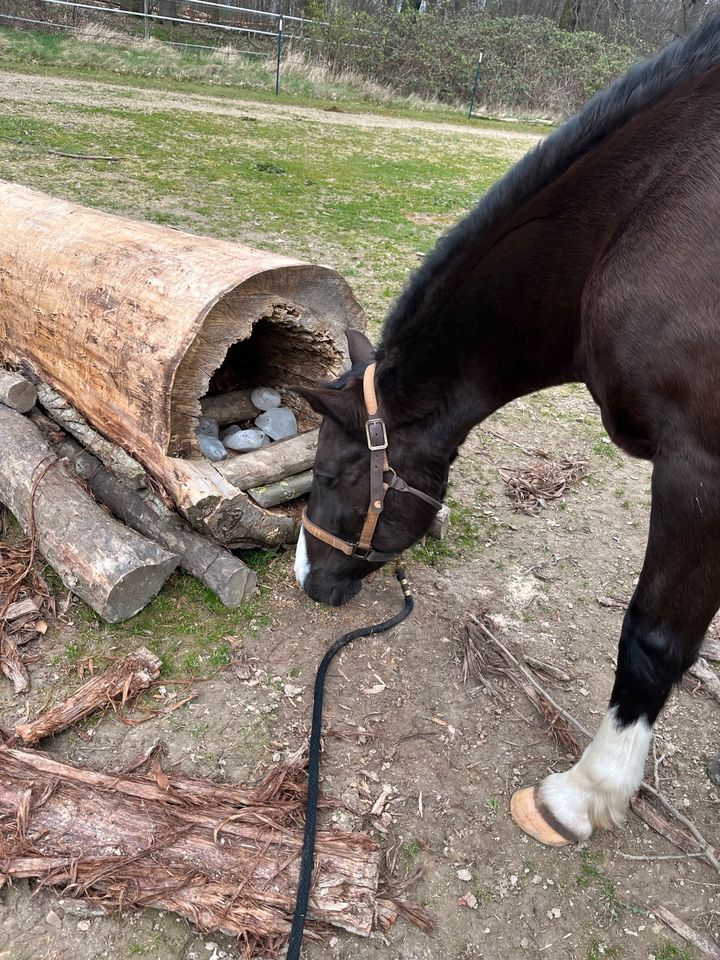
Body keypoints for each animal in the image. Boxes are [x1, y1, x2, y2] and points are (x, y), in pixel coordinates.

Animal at [292, 20, 720, 848]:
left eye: (329, 476)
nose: (303, 578)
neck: (644, 213)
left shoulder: (699, 469)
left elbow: (652, 641)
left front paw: (584, 794)